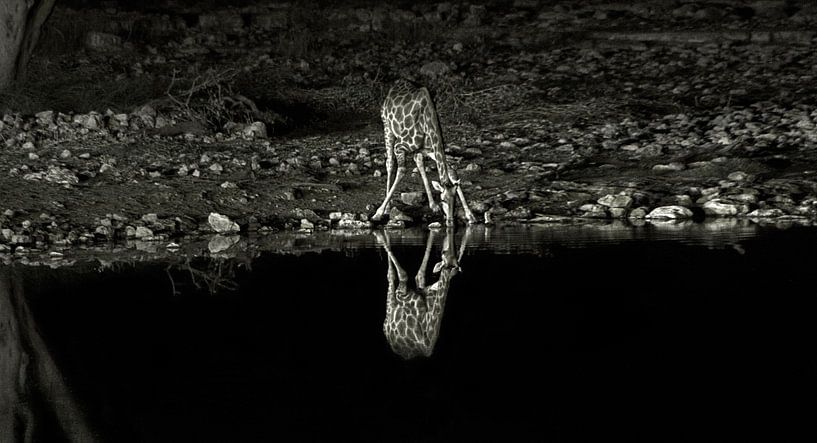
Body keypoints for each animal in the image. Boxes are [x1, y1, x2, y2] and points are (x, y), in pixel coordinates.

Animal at [373, 79, 478, 227]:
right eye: (443, 199)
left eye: (455, 200)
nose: (450, 222)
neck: (428, 120)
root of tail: (395, 85)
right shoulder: (400, 146)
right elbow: (402, 171)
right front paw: (378, 213)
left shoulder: (430, 149)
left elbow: (451, 170)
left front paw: (470, 215)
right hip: (387, 127)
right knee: (390, 162)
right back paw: (387, 207)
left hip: (418, 149)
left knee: (419, 162)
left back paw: (432, 205)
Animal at [374, 227, 472, 359]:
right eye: (444, 254)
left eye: (456, 269)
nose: (447, 248)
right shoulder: (402, 292)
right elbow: (403, 275)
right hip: (391, 303)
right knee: (390, 274)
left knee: (417, 276)